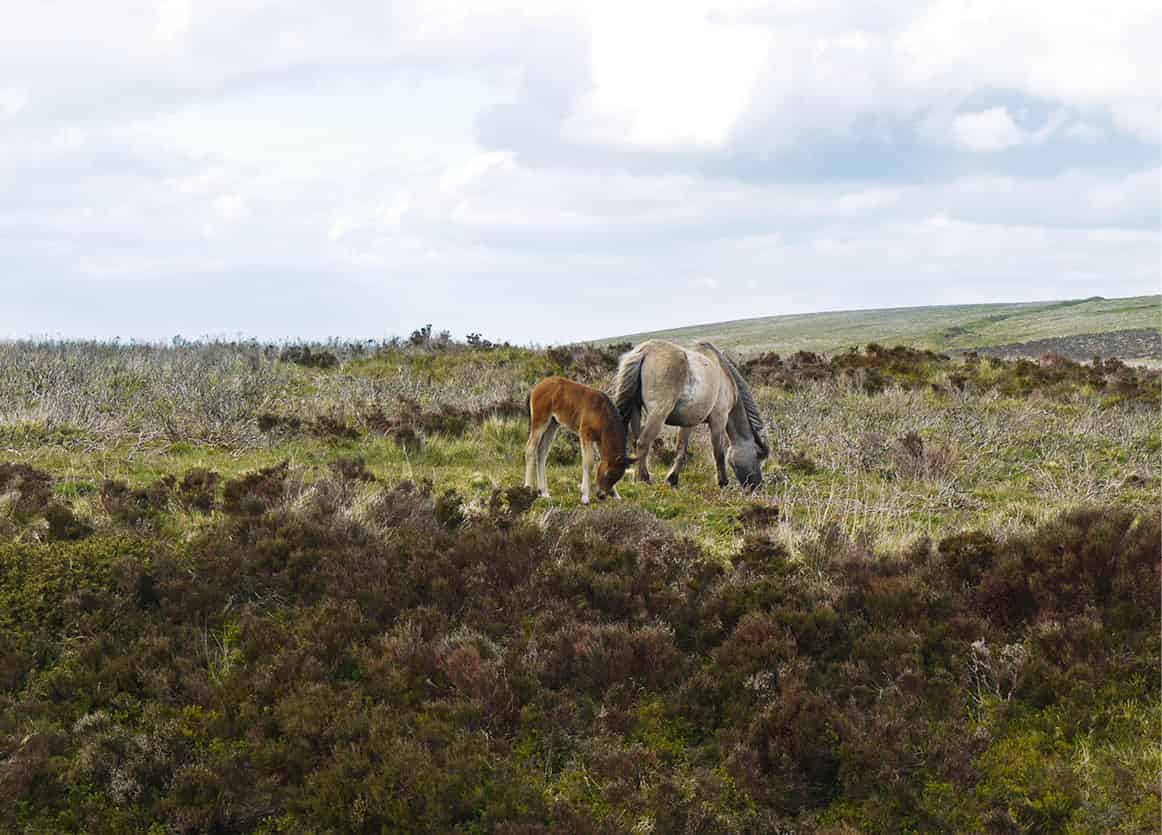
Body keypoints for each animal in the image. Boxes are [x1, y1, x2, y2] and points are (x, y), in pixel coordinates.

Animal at [525, 376, 636, 504]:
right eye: (608, 473)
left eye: (617, 477)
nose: (601, 495)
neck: (602, 412)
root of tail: (536, 388)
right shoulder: (585, 434)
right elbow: (589, 462)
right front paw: (585, 497)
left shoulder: (600, 441)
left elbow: (602, 460)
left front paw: (616, 495)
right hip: (540, 421)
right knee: (530, 448)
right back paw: (528, 487)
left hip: (553, 424)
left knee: (541, 452)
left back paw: (544, 492)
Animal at [608, 339, 771, 490]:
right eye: (757, 455)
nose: (756, 486)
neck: (723, 374)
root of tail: (646, 351)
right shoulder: (719, 419)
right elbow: (719, 453)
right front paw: (723, 483)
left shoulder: (688, 422)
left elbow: (681, 451)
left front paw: (672, 480)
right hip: (658, 414)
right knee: (643, 442)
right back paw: (644, 479)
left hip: (635, 409)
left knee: (636, 441)